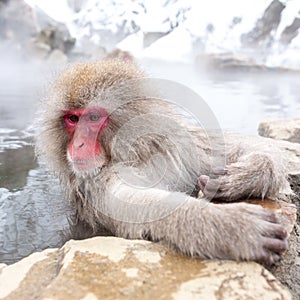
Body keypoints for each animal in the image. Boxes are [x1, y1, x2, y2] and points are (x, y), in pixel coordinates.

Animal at [35, 54, 290, 264]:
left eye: (94, 118)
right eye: (72, 119)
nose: (77, 145)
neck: (140, 153)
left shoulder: (181, 146)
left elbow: (236, 146)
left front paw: (242, 177)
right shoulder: (95, 186)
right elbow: (136, 206)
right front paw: (230, 226)